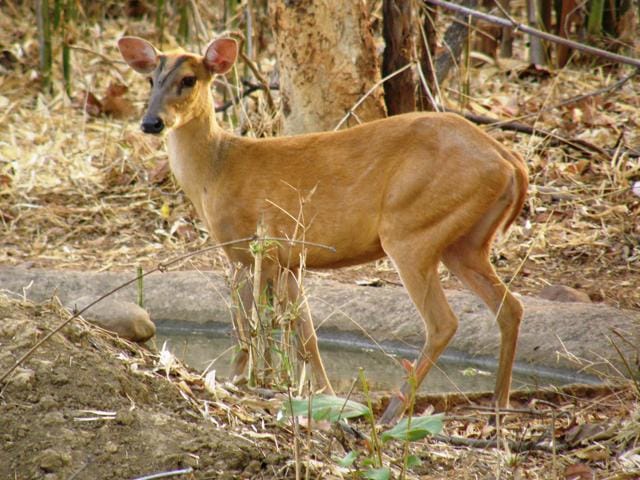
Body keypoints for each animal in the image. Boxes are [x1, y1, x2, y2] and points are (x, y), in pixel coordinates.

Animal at [117, 35, 528, 425]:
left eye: (189, 79)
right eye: (151, 80)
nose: (151, 122)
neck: (216, 171)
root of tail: (509, 162)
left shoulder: (250, 249)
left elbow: (249, 327)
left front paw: (239, 381)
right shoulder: (287, 259)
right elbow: (307, 335)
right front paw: (324, 394)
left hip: (411, 231)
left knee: (444, 322)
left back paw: (395, 412)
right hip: (465, 242)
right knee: (510, 306)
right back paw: (500, 402)